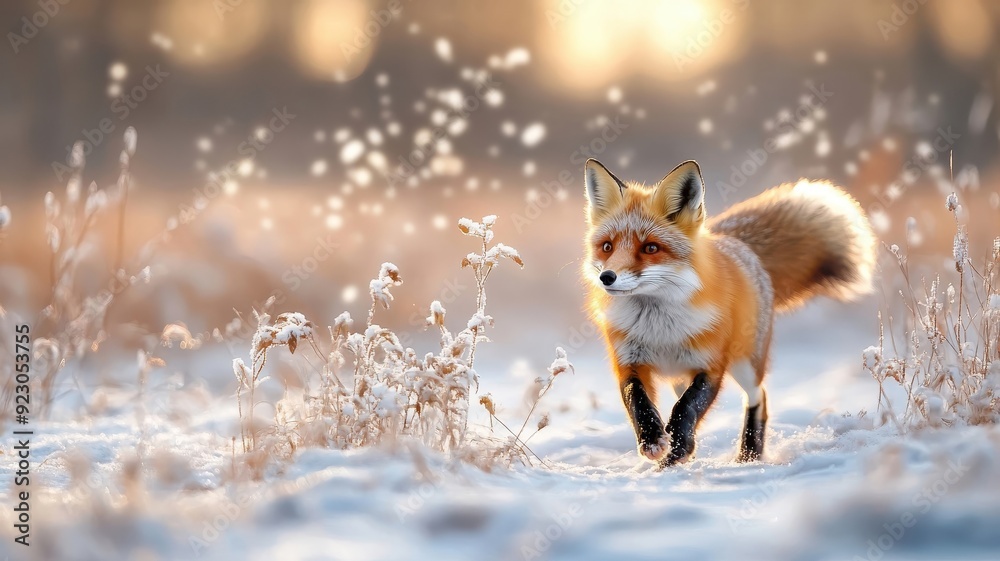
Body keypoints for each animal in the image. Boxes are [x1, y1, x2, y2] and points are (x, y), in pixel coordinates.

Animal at [583, 159, 876, 467]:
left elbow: (688, 406)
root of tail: (733, 242)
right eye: (607, 247)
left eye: (650, 248)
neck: (660, 328)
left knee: (759, 397)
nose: (607, 277)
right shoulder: (629, 361)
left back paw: (749, 454)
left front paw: (676, 445)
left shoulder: (711, 364)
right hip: (681, 375)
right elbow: (637, 401)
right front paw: (654, 440)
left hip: (745, 363)